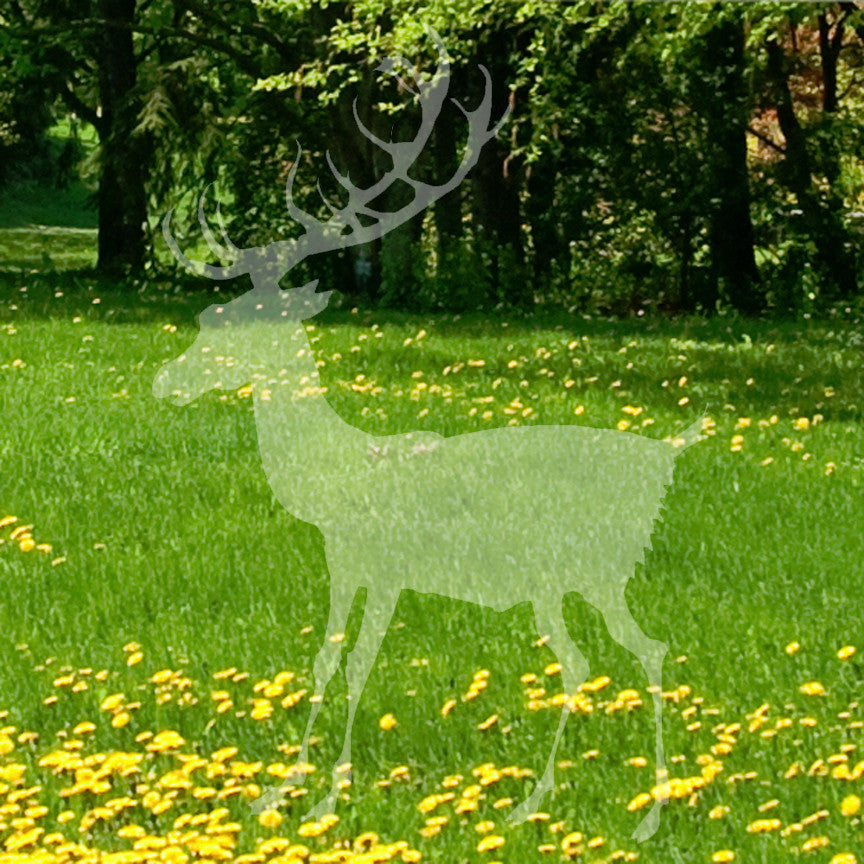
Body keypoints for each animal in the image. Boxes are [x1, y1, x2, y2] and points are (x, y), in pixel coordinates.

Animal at [153, 30, 699, 842]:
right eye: (206, 315)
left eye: (229, 321)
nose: (165, 380)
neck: (335, 472)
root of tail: (668, 453)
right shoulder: (343, 561)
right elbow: (322, 663)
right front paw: (278, 791)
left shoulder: (383, 564)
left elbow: (356, 667)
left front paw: (329, 795)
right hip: (579, 575)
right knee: (627, 654)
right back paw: (594, 804)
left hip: (586, 566)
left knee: (605, 658)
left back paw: (586, 807)